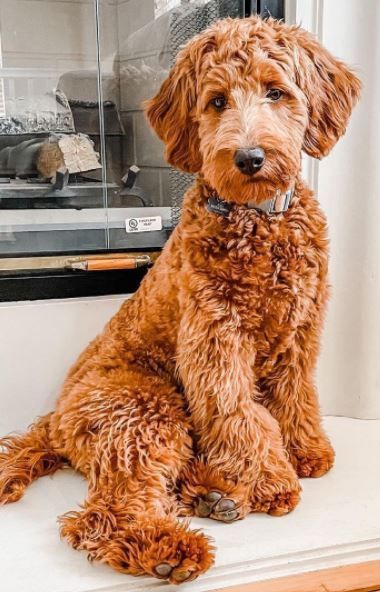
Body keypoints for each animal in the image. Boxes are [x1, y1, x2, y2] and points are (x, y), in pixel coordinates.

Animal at [0, 16, 360, 584]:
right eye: (216, 101)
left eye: (276, 92)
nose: (249, 157)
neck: (257, 218)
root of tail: (53, 421)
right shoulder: (216, 341)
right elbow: (238, 412)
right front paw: (269, 479)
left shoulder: (299, 330)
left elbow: (295, 395)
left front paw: (304, 450)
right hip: (145, 411)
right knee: (108, 509)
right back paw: (169, 544)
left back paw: (214, 493)